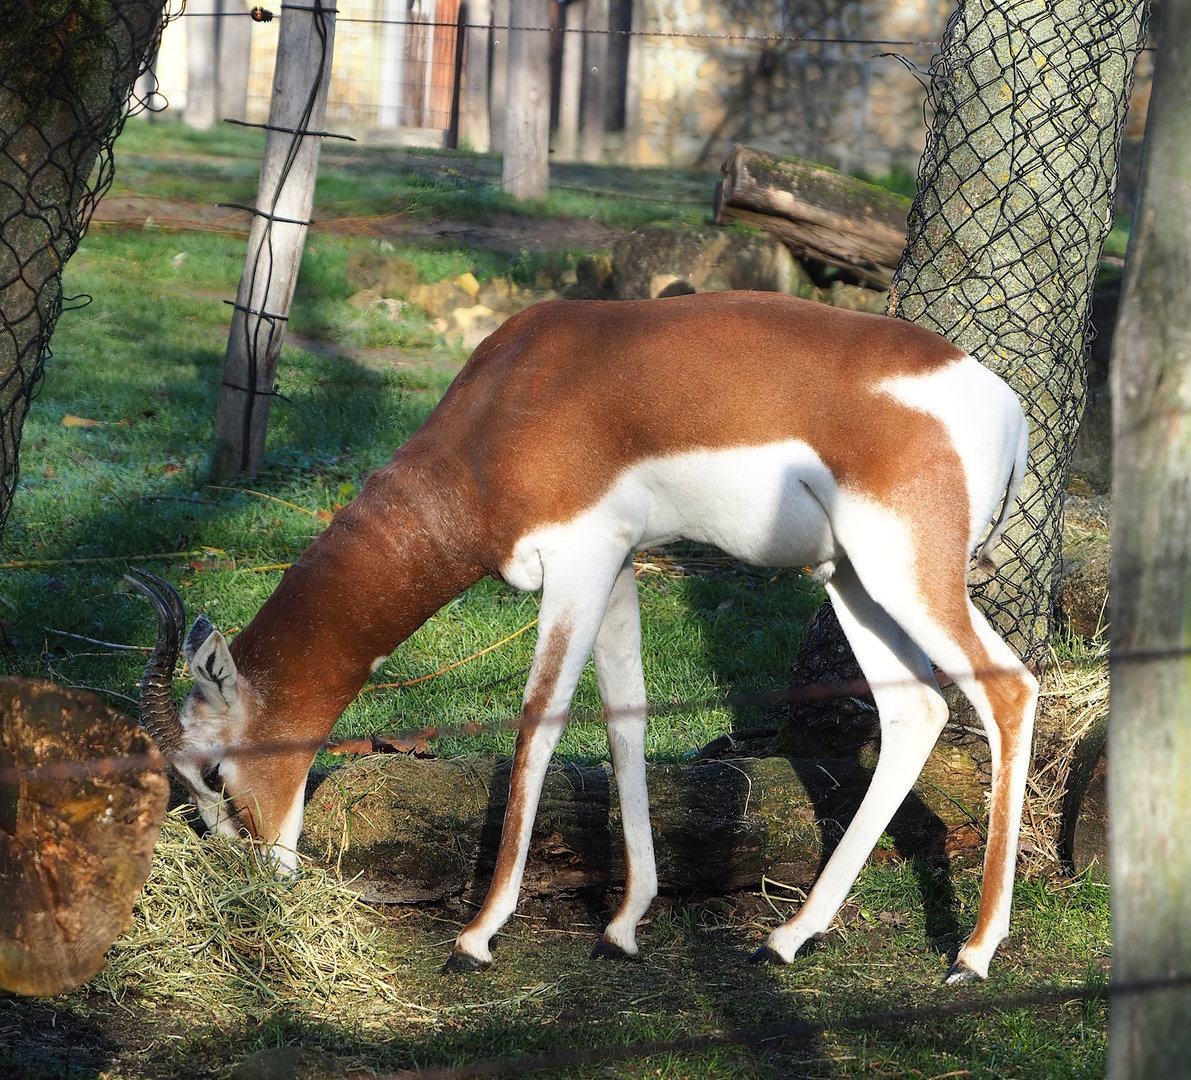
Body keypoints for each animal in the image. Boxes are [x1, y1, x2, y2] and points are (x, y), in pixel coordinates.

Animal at [129, 290, 1038, 984]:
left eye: (212, 772)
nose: (252, 879)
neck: (510, 403)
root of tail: (1005, 403)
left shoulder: (578, 558)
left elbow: (537, 725)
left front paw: (475, 937)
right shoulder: (621, 564)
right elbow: (623, 721)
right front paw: (625, 924)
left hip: (901, 572)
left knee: (1006, 688)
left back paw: (971, 955)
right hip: (850, 576)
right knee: (918, 709)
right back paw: (785, 939)